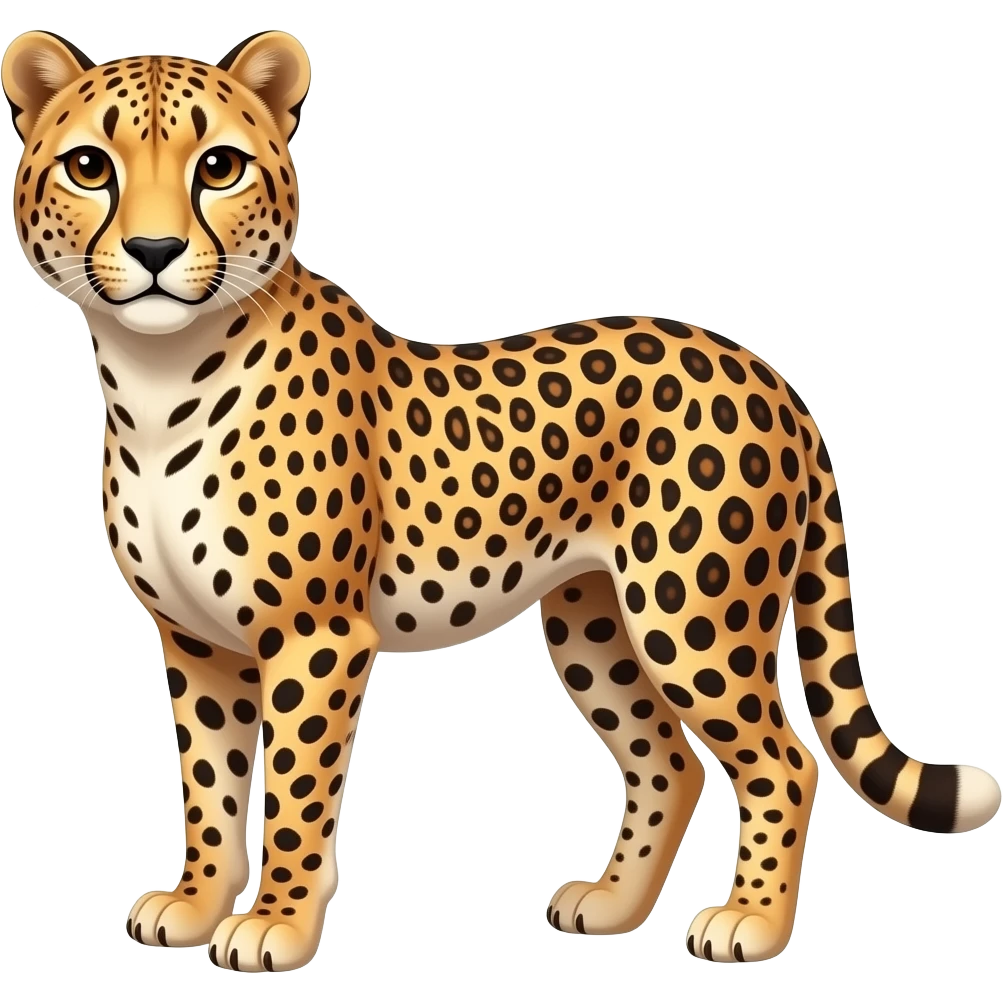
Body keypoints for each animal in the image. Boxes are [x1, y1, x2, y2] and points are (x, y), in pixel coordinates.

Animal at [4, 27, 1000, 972]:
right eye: (91, 166)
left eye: (219, 166)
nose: (156, 251)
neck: (156, 374)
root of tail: (765, 371)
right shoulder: (198, 642)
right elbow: (210, 787)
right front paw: (197, 902)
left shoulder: (317, 638)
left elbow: (291, 789)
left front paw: (275, 925)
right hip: (594, 623)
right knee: (668, 761)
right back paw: (611, 903)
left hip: (690, 618)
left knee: (784, 762)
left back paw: (749, 921)